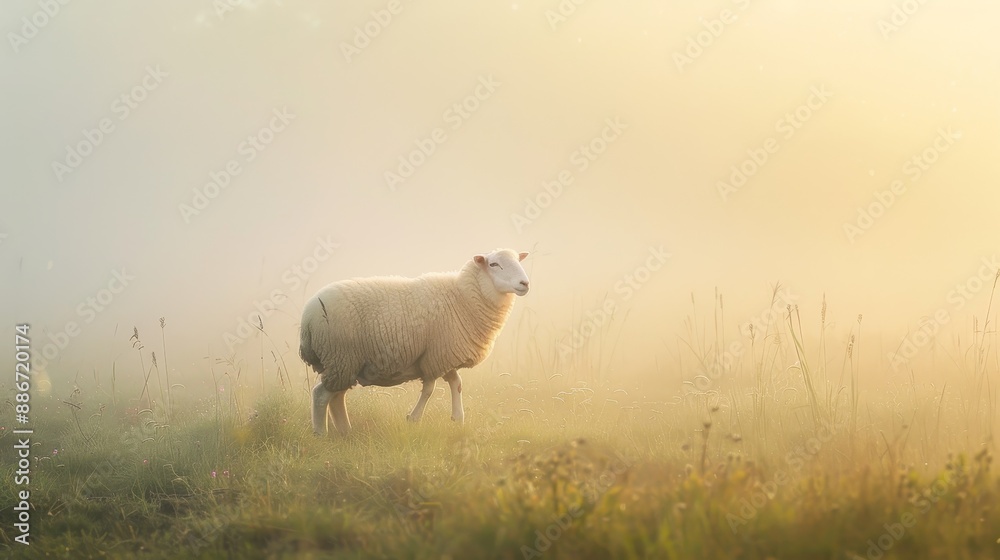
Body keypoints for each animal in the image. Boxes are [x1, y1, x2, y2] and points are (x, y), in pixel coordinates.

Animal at [299, 248, 530, 435]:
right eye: (494, 264)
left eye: (519, 260)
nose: (525, 283)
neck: (462, 298)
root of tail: (308, 317)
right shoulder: (434, 357)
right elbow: (429, 390)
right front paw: (414, 418)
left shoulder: (442, 355)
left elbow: (457, 384)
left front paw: (458, 418)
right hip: (341, 357)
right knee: (321, 395)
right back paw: (321, 434)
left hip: (345, 363)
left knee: (336, 397)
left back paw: (345, 431)